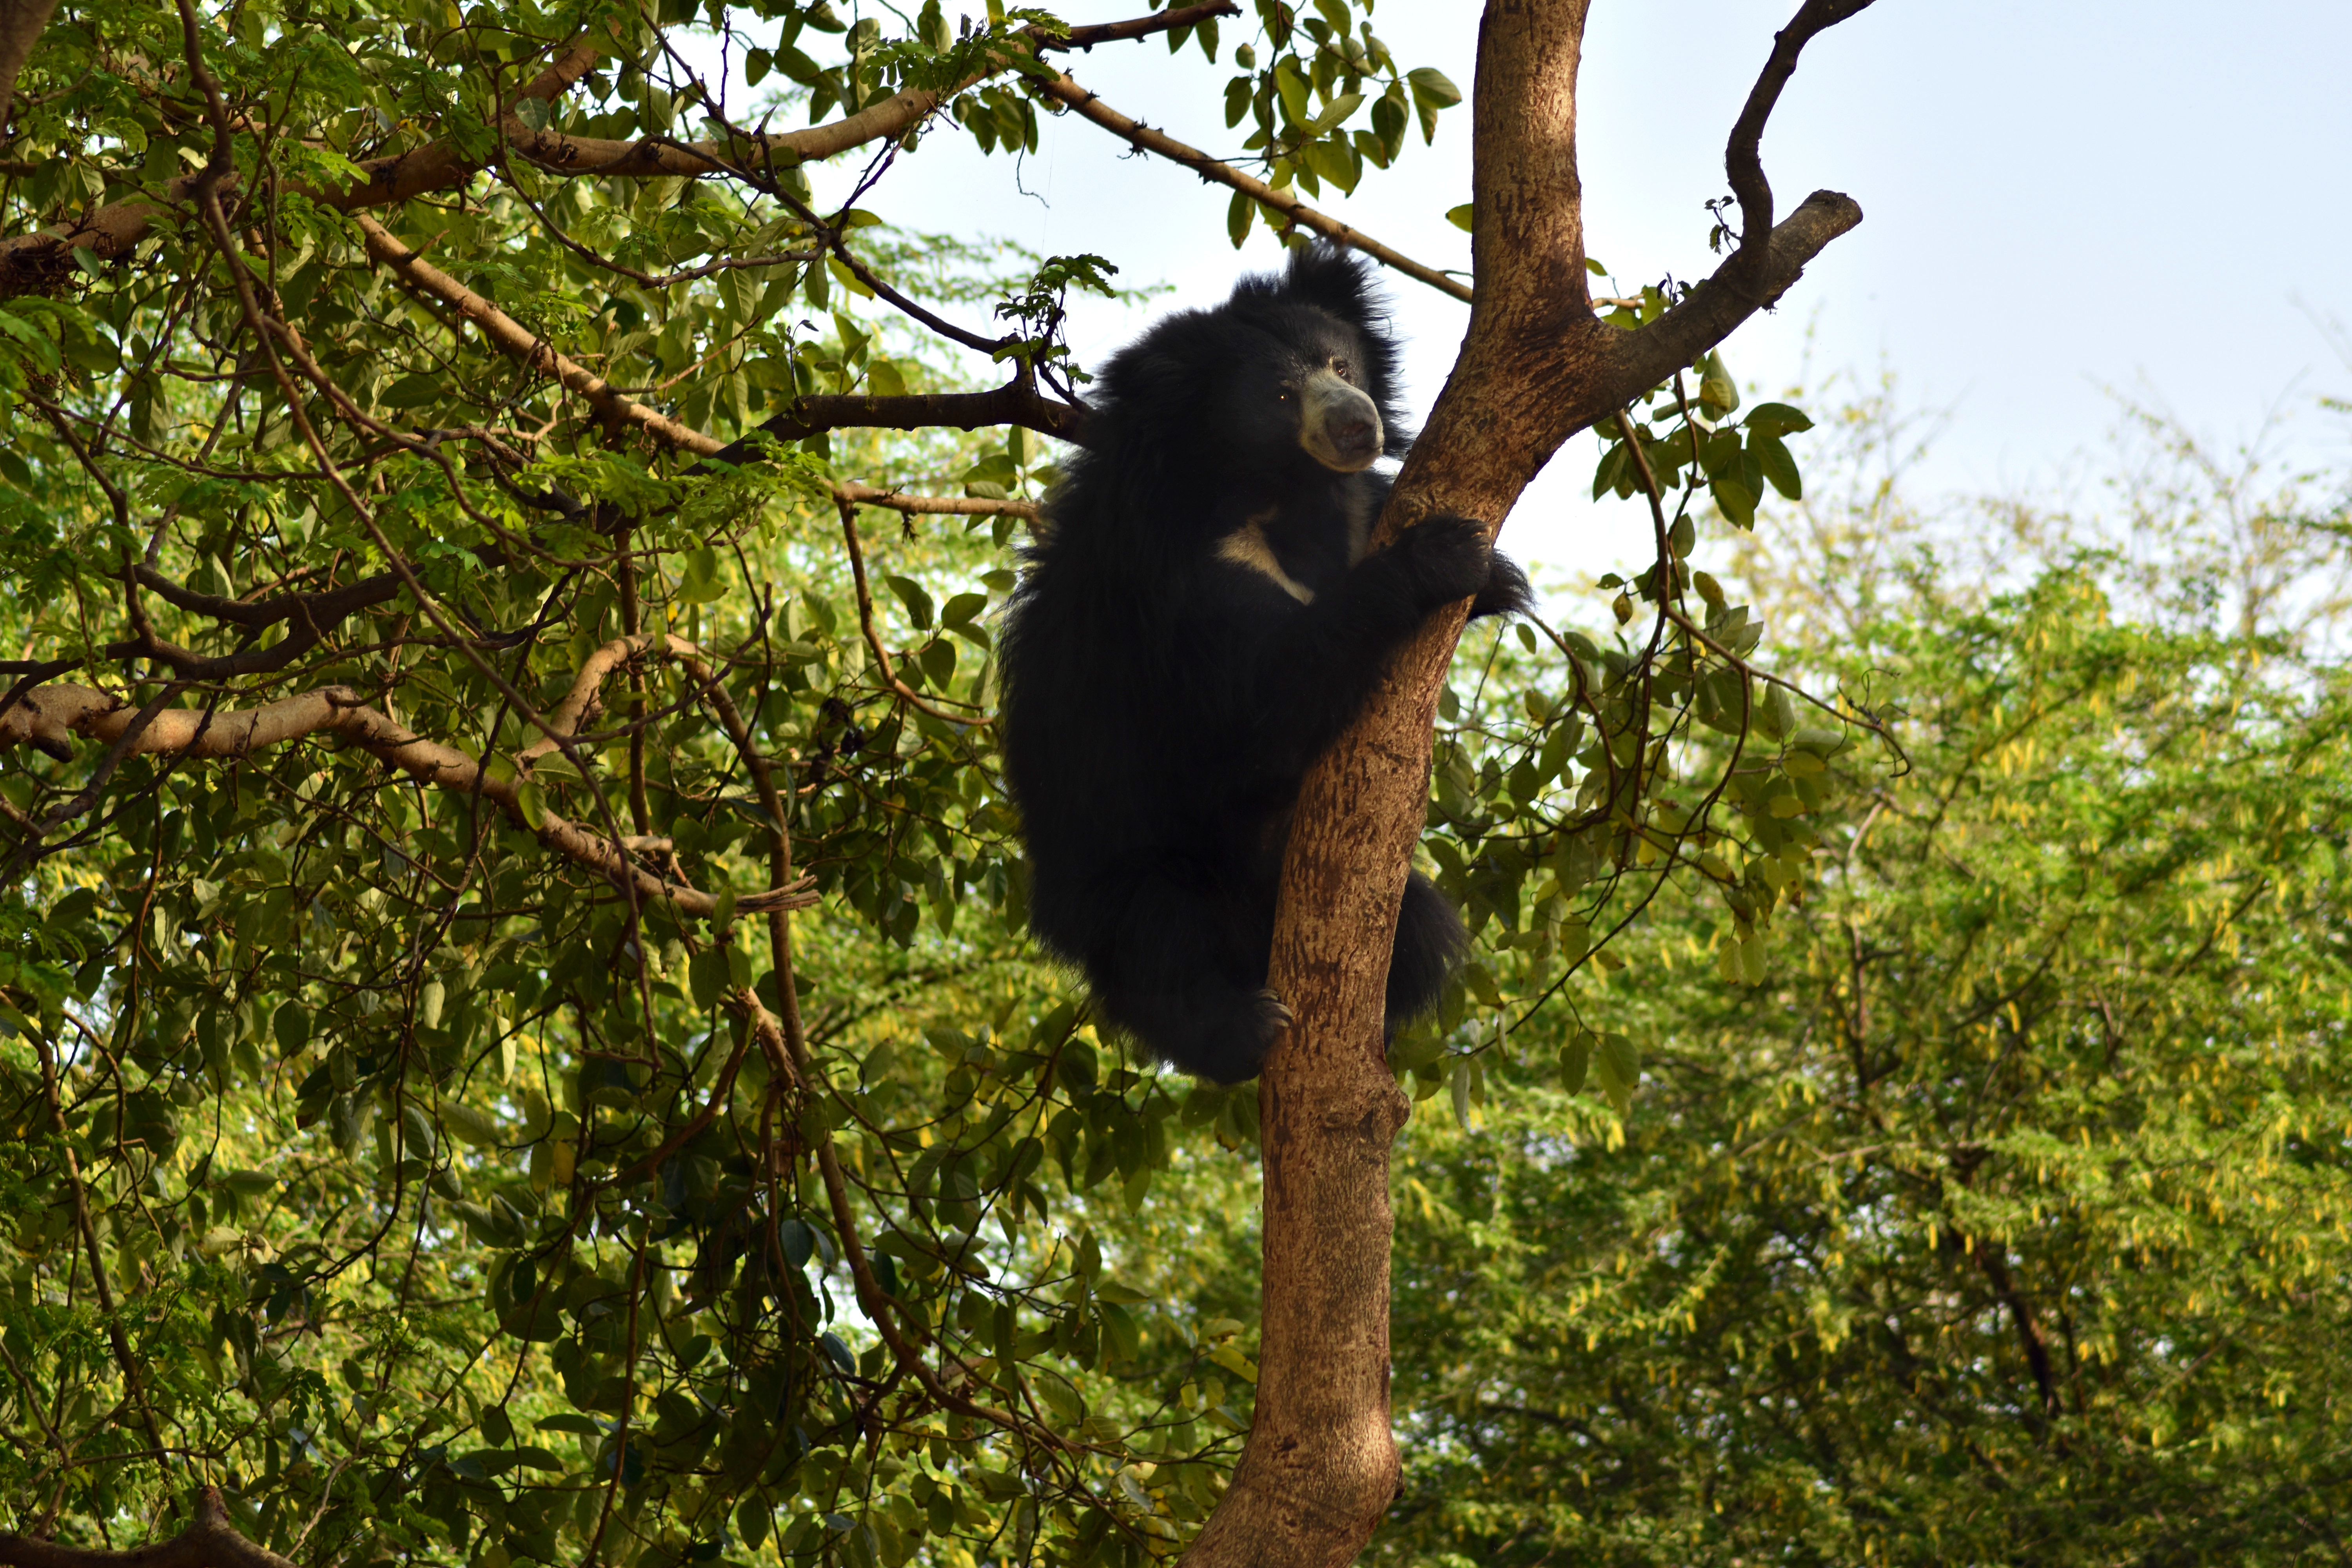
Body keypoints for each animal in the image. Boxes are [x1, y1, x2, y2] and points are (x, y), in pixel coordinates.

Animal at [993, 245, 1524, 1086]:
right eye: (1279, 396)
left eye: (1341, 363)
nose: (1357, 424)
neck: (1285, 495)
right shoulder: (1187, 582)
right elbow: (1260, 705)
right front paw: (1443, 557)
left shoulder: (1355, 511)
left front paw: (1499, 579)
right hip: (1126, 851)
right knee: (1157, 941)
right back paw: (1242, 1030)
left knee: (1421, 927)